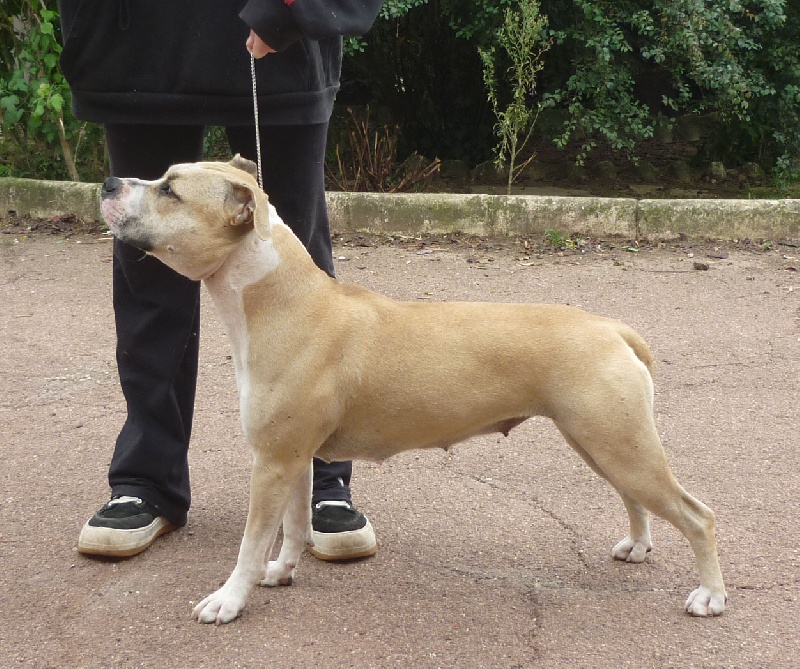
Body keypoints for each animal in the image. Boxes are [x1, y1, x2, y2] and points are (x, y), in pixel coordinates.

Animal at [98, 155, 724, 620]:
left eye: (171, 191)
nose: (108, 181)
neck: (280, 298)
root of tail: (611, 327)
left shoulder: (271, 460)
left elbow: (252, 542)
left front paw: (229, 600)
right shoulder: (292, 457)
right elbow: (294, 527)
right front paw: (283, 572)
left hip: (619, 444)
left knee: (698, 515)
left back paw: (710, 596)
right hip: (601, 442)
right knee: (635, 498)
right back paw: (638, 546)